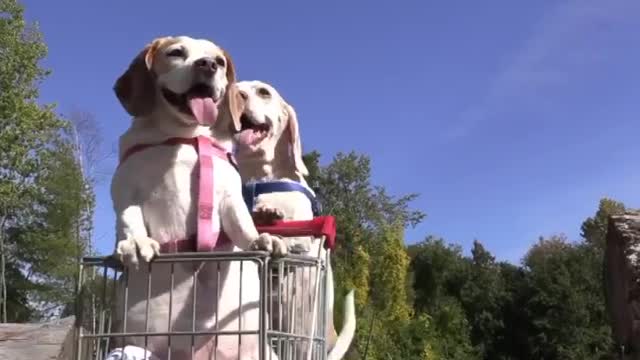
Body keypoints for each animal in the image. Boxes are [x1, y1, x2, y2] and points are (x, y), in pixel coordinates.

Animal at [110, 36, 284, 360]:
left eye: (221, 61)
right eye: (176, 52)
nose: (208, 64)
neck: (183, 137)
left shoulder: (228, 195)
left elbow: (243, 223)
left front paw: (259, 238)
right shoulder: (124, 189)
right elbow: (129, 218)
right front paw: (137, 242)